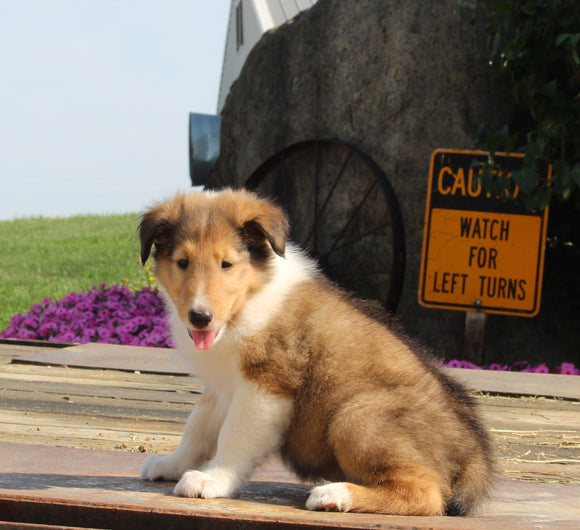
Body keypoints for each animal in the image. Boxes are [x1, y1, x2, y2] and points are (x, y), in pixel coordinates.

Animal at [138, 188, 492, 512]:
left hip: (357, 416)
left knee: (424, 494)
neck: (248, 302)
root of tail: (475, 454)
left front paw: (212, 480)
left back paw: (335, 494)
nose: (200, 317)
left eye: (227, 264)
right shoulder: (221, 386)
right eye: (182, 263)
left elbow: (233, 435)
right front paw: (171, 464)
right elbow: (197, 428)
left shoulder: (265, 386)